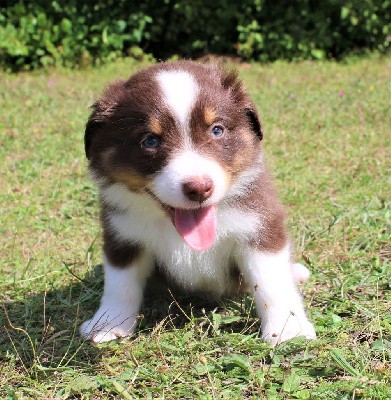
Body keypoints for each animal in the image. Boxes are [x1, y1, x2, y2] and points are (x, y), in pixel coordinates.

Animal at [81, 61, 316, 346]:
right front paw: (108, 324)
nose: (199, 188)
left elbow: (270, 281)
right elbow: (119, 283)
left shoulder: (259, 224)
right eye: (150, 140)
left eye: (217, 130)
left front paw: (287, 329)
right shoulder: (123, 235)